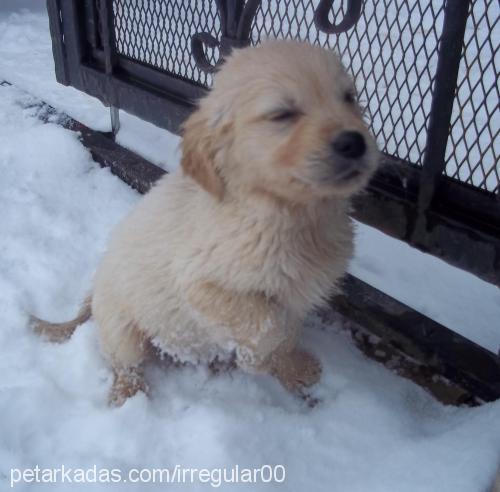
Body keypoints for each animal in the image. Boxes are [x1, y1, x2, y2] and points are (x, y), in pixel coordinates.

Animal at [33, 41, 378, 404]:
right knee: (125, 363)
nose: (354, 142)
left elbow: (288, 331)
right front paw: (256, 361)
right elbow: (269, 324)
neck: (289, 215)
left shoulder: (298, 295)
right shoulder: (201, 284)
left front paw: (293, 367)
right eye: (282, 114)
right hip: (121, 329)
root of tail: (94, 290)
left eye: (349, 97)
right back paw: (129, 394)